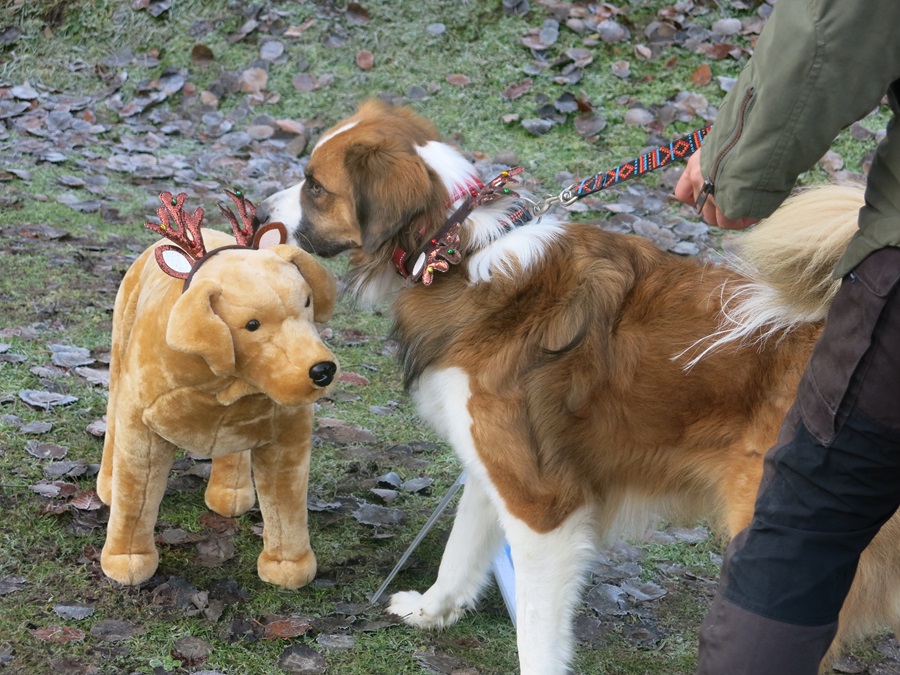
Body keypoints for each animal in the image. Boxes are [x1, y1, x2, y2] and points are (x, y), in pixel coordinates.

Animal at [256, 101, 900, 675]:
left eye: (315, 186)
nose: (261, 209)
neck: (457, 254)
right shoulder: (497, 469)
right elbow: (461, 550)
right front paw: (432, 610)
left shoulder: (544, 509)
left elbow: (537, 635)